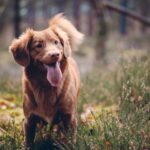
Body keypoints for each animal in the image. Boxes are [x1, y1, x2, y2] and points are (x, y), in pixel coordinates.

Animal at [9, 14, 84, 148]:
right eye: (39, 45)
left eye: (56, 42)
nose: (55, 54)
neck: (46, 86)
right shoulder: (29, 120)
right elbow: (28, 142)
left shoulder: (69, 117)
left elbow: (70, 140)